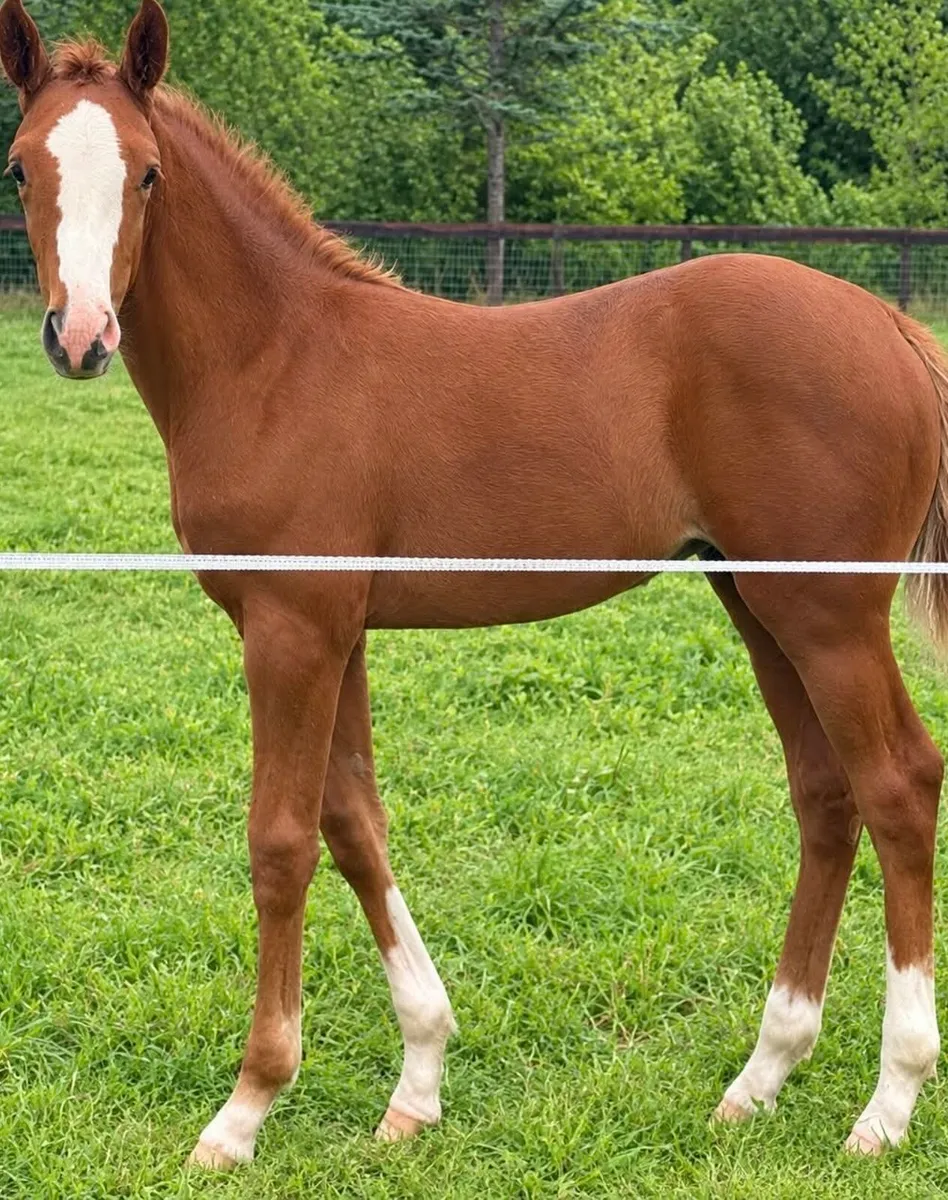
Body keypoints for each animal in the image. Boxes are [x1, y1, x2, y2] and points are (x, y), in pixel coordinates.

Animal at [1, 0, 945, 1167]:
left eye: (147, 174)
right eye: (20, 169)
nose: (80, 335)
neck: (277, 359)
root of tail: (893, 327)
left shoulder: (290, 626)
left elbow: (281, 841)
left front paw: (246, 1107)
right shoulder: (338, 627)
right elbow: (354, 823)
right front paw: (418, 1082)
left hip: (832, 615)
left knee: (899, 783)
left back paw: (887, 1103)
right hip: (759, 601)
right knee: (826, 793)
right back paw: (760, 1077)